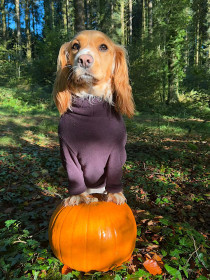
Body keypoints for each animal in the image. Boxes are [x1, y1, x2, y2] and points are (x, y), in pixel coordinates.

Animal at [52, 30, 135, 206]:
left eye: (103, 47)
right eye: (75, 46)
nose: (84, 59)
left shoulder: (117, 152)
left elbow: (114, 174)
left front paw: (115, 194)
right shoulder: (67, 151)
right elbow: (75, 176)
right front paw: (77, 196)